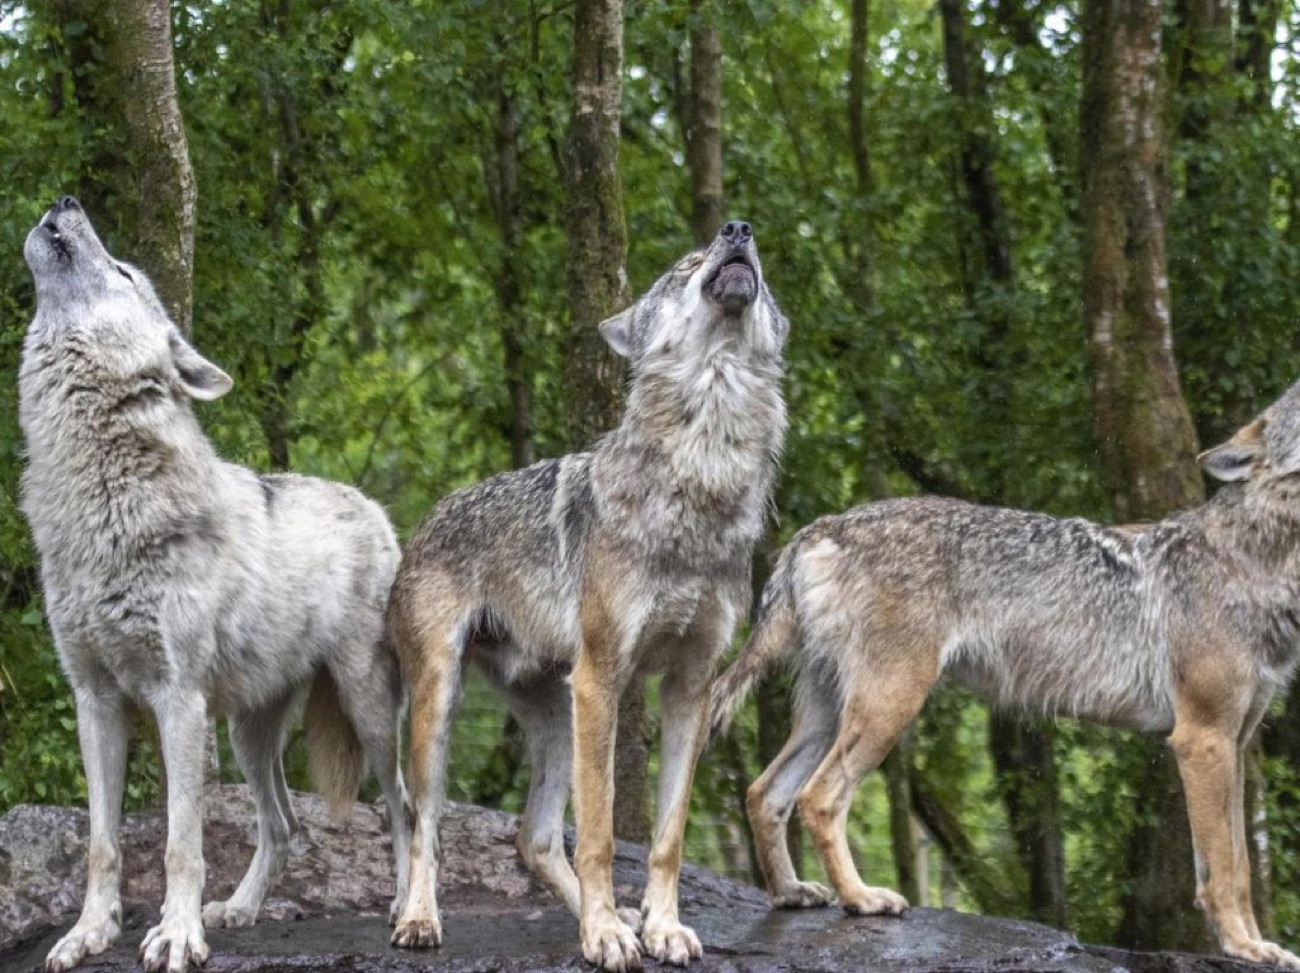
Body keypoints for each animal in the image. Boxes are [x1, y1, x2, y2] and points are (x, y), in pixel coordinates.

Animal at [19, 197, 410, 973]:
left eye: (122, 272)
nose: (67, 201)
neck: (98, 501)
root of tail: (374, 508)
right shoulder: (94, 699)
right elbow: (103, 843)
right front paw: (87, 934)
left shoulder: (179, 700)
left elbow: (179, 843)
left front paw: (176, 935)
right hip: (247, 730)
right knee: (285, 824)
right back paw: (240, 909)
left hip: (366, 711)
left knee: (407, 808)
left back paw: (413, 912)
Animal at [388, 221, 787, 971]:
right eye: (684, 266)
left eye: (765, 273)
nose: (739, 229)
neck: (701, 475)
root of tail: (426, 519)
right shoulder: (604, 677)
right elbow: (601, 834)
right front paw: (603, 936)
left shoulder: (691, 685)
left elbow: (665, 837)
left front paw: (657, 927)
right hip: (444, 700)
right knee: (424, 817)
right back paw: (420, 918)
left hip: (556, 716)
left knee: (534, 837)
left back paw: (615, 918)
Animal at [710, 378, 1300, 967]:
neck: (1257, 558)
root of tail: (819, 528)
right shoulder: (1202, 740)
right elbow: (1223, 870)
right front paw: (1246, 947)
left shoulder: (1235, 743)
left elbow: (1240, 866)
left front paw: (1257, 943)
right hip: (888, 708)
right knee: (818, 797)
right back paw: (861, 898)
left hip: (830, 716)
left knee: (764, 792)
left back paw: (791, 892)